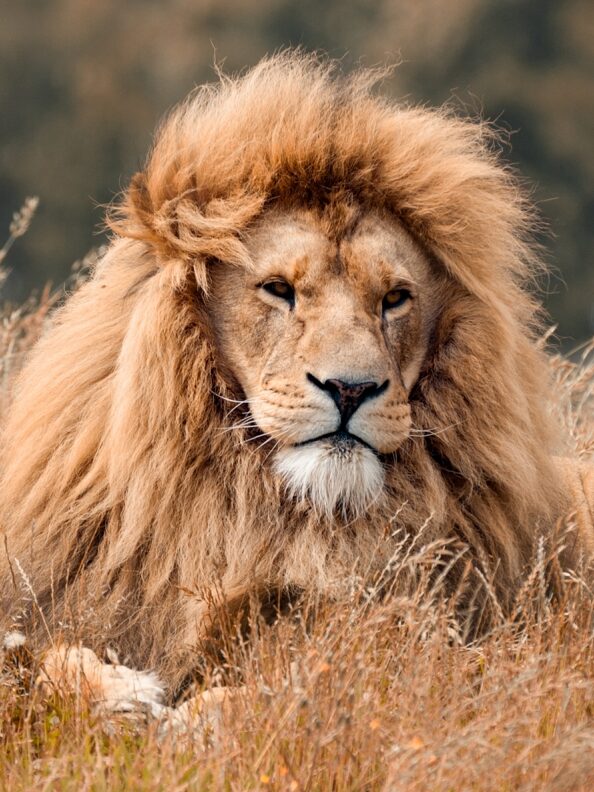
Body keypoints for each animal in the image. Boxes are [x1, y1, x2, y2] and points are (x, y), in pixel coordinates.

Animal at [1, 53, 593, 713]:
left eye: (394, 298)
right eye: (279, 289)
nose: (351, 388)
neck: (251, 515)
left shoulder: (434, 646)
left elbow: (281, 690)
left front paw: (184, 714)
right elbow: (37, 660)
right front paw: (122, 694)